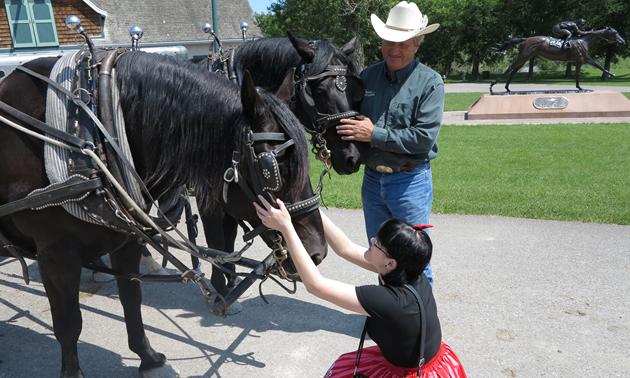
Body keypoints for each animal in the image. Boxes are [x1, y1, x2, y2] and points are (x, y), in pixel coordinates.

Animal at [0, 51, 326, 378]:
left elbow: (132, 299)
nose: (317, 253)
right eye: (272, 169)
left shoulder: (127, 239)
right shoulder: (55, 254)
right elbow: (68, 325)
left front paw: (148, 357)